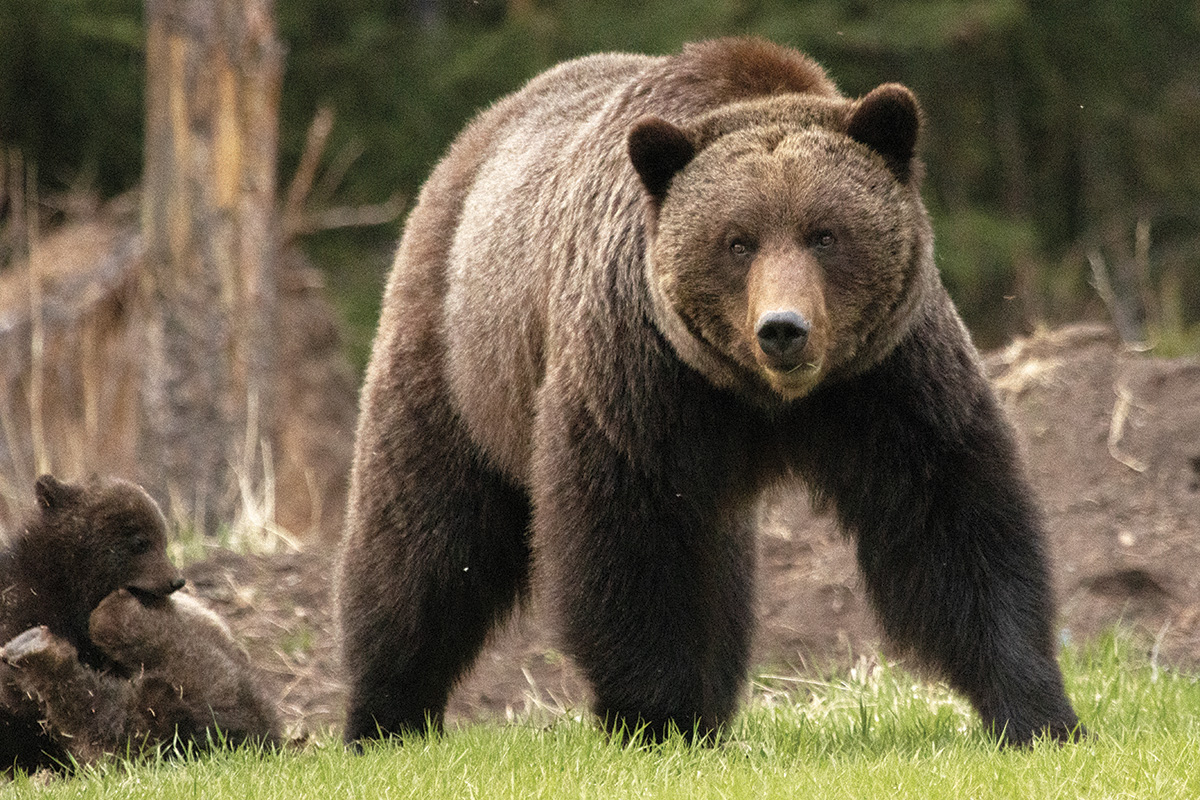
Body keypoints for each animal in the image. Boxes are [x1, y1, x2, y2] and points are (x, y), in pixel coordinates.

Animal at [336, 37, 1080, 748]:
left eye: (825, 233)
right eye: (737, 241)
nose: (783, 329)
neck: (766, 399)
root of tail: (480, 132)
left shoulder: (887, 379)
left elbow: (953, 518)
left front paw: (1038, 712)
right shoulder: (643, 380)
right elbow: (631, 543)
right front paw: (656, 718)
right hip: (461, 357)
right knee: (424, 539)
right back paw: (384, 716)